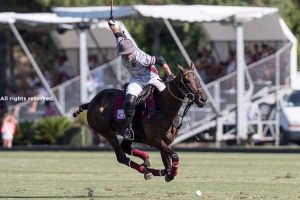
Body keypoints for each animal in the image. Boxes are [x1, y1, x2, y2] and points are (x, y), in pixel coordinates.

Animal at [74, 63, 207, 182]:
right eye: (187, 80)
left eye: (197, 79)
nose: (203, 99)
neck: (163, 107)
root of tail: (91, 102)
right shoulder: (154, 140)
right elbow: (174, 156)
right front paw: (170, 174)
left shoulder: (167, 142)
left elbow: (167, 162)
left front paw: (167, 172)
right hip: (107, 131)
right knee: (121, 156)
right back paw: (146, 171)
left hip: (128, 134)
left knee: (126, 147)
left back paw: (146, 162)